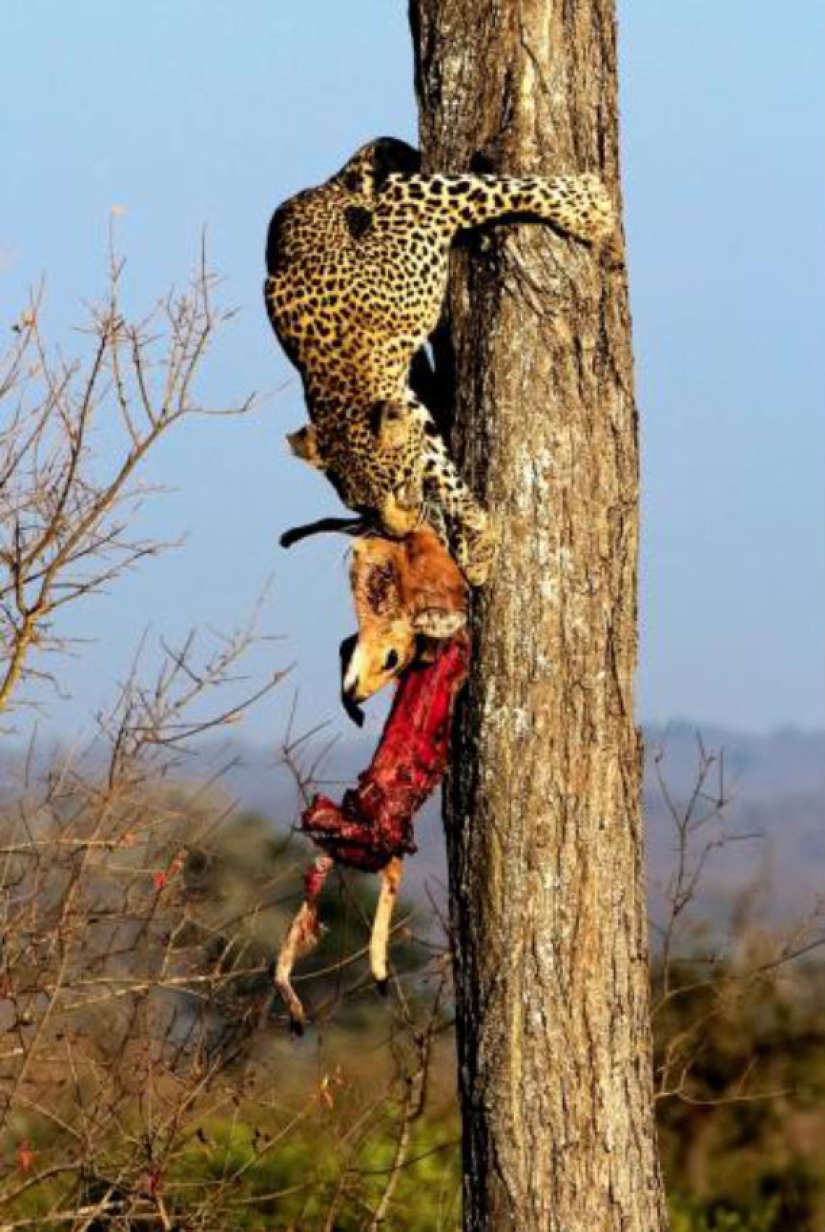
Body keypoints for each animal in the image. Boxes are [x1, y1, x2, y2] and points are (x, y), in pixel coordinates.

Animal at [264, 139, 613, 581]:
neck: (343, 367)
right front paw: (476, 540)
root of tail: (314, 189)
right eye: (361, 507)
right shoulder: (406, 401)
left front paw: (586, 206)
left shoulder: (410, 201)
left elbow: (494, 190)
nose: (400, 533)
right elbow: (438, 464)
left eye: (397, 485)